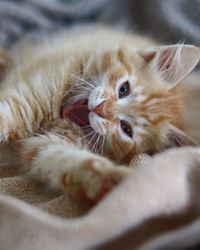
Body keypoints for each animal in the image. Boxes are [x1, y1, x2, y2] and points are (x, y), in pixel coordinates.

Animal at [0, 26, 199, 200]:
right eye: (124, 89)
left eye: (126, 129)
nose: (102, 109)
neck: (59, 115)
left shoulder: (49, 145)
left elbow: (67, 160)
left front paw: (109, 180)